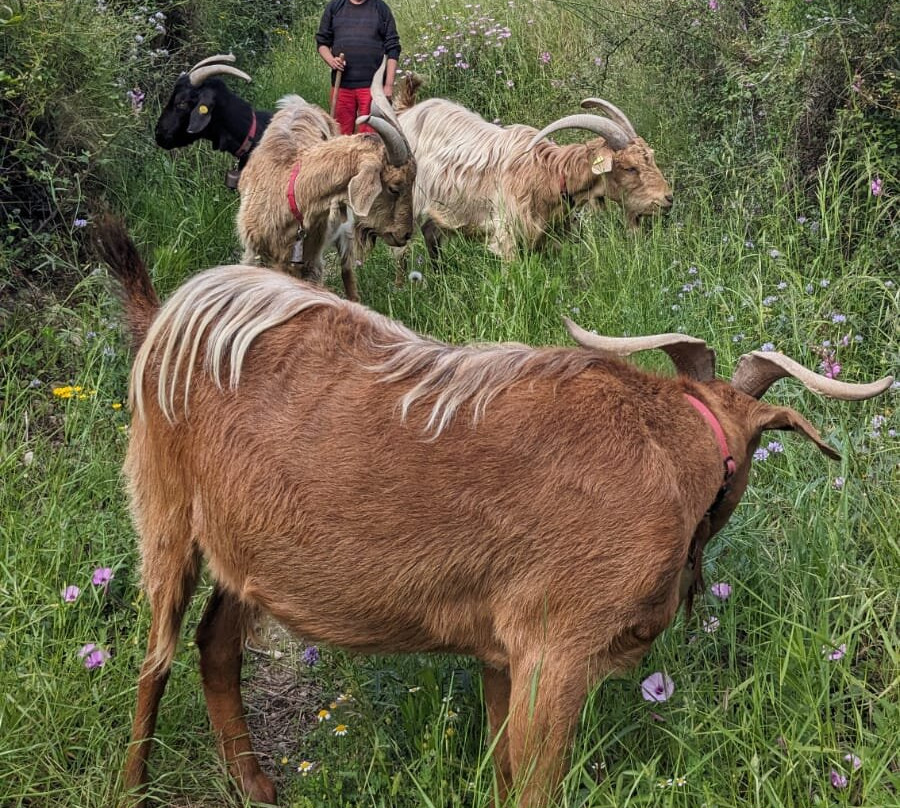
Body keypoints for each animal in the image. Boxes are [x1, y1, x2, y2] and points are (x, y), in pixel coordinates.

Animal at [93, 217, 892, 807]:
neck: (675, 449)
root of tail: (172, 311)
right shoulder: (555, 650)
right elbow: (537, 785)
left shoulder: (502, 653)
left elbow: (506, 774)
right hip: (166, 517)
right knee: (155, 659)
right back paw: (132, 787)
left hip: (245, 552)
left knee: (215, 644)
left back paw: (255, 785)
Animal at [236, 63, 415, 302]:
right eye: (394, 188)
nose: (406, 234)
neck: (289, 191)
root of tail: (299, 104)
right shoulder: (252, 252)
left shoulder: (310, 263)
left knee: (347, 268)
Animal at [389, 74, 672, 265]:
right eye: (630, 168)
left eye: (650, 158)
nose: (667, 198)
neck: (546, 174)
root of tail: (404, 113)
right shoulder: (507, 236)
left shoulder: (551, 237)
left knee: (432, 237)